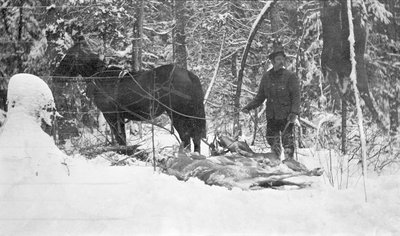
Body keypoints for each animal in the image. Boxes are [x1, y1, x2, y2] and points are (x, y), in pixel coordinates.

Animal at [54, 39, 206, 152]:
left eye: (69, 56)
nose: (56, 73)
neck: (102, 78)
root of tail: (189, 75)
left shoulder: (111, 115)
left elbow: (119, 137)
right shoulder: (119, 117)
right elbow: (122, 138)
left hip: (179, 114)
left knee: (186, 137)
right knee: (195, 138)